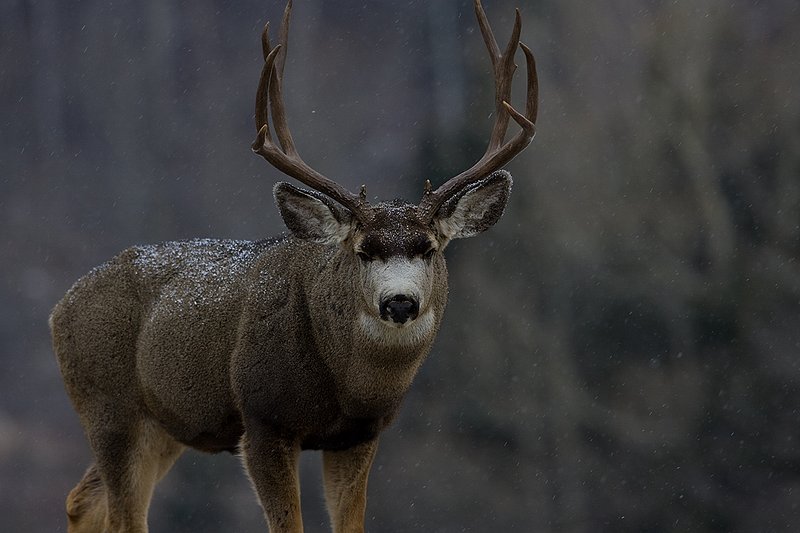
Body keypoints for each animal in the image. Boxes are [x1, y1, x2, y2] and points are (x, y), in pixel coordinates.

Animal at [50, 1, 537, 531]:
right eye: (362, 250)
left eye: (428, 247)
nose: (400, 302)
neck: (348, 384)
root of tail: (59, 308)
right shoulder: (264, 421)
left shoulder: (358, 435)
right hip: (109, 407)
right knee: (121, 513)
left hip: (163, 426)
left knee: (83, 500)